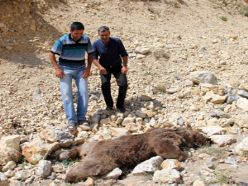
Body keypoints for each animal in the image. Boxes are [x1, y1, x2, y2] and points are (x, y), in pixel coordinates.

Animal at [59, 127, 209, 182]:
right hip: (104, 157)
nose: (208, 139)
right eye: (200, 134)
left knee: (82, 146)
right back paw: (69, 176)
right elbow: (166, 149)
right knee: (93, 166)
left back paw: (65, 154)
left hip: (93, 145)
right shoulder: (160, 139)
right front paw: (185, 154)